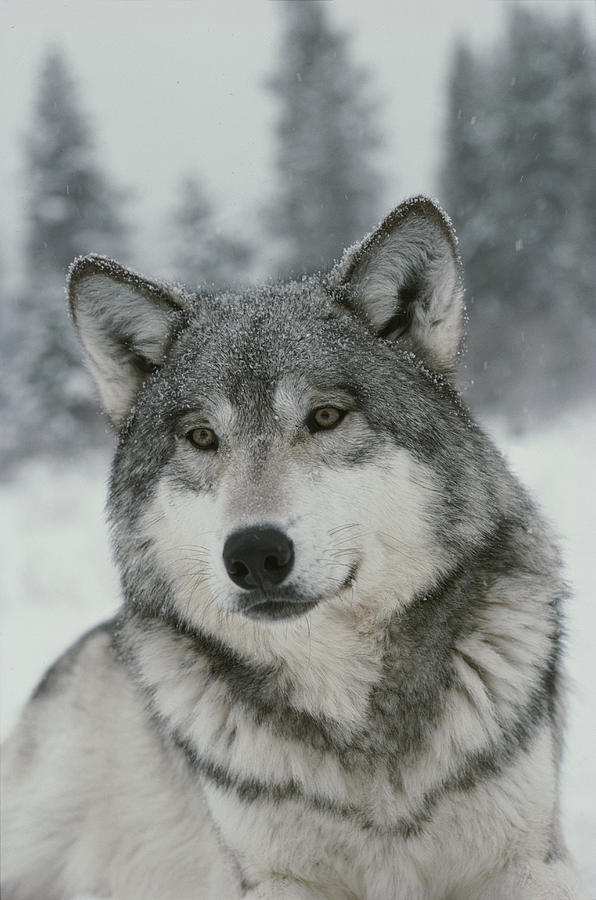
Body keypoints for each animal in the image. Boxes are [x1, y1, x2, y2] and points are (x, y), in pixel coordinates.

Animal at [0, 199, 584, 900]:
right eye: (202, 437)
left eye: (326, 417)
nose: (254, 555)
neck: (354, 715)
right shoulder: (271, 876)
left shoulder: (530, 860)